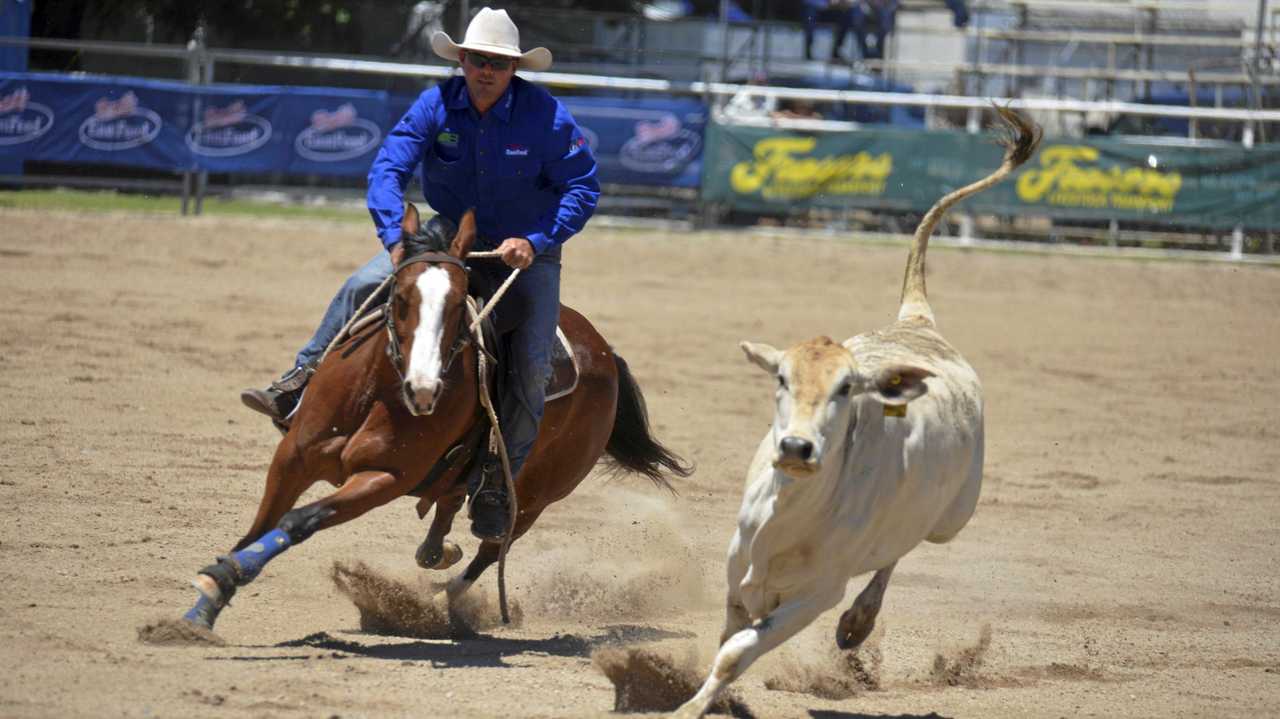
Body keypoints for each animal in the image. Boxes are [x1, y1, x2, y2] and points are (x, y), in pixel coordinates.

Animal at [180, 202, 691, 626]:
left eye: (458, 303)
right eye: (401, 297)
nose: (423, 390)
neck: (374, 393)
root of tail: (606, 353)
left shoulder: (384, 478)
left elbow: (297, 521)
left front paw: (221, 581)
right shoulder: (293, 457)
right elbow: (261, 525)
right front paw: (207, 600)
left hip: (537, 493)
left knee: (493, 544)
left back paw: (446, 598)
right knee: (451, 500)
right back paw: (437, 552)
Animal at [670, 107, 1039, 716]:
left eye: (846, 387)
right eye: (781, 377)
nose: (796, 447)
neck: (789, 516)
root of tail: (919, 321)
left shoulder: (817, 594)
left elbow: (735, 653)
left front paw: (691, 705)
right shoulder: (736, 569)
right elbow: (727, 639)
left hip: (952, 518)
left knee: (900, 551)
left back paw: (859, 623)